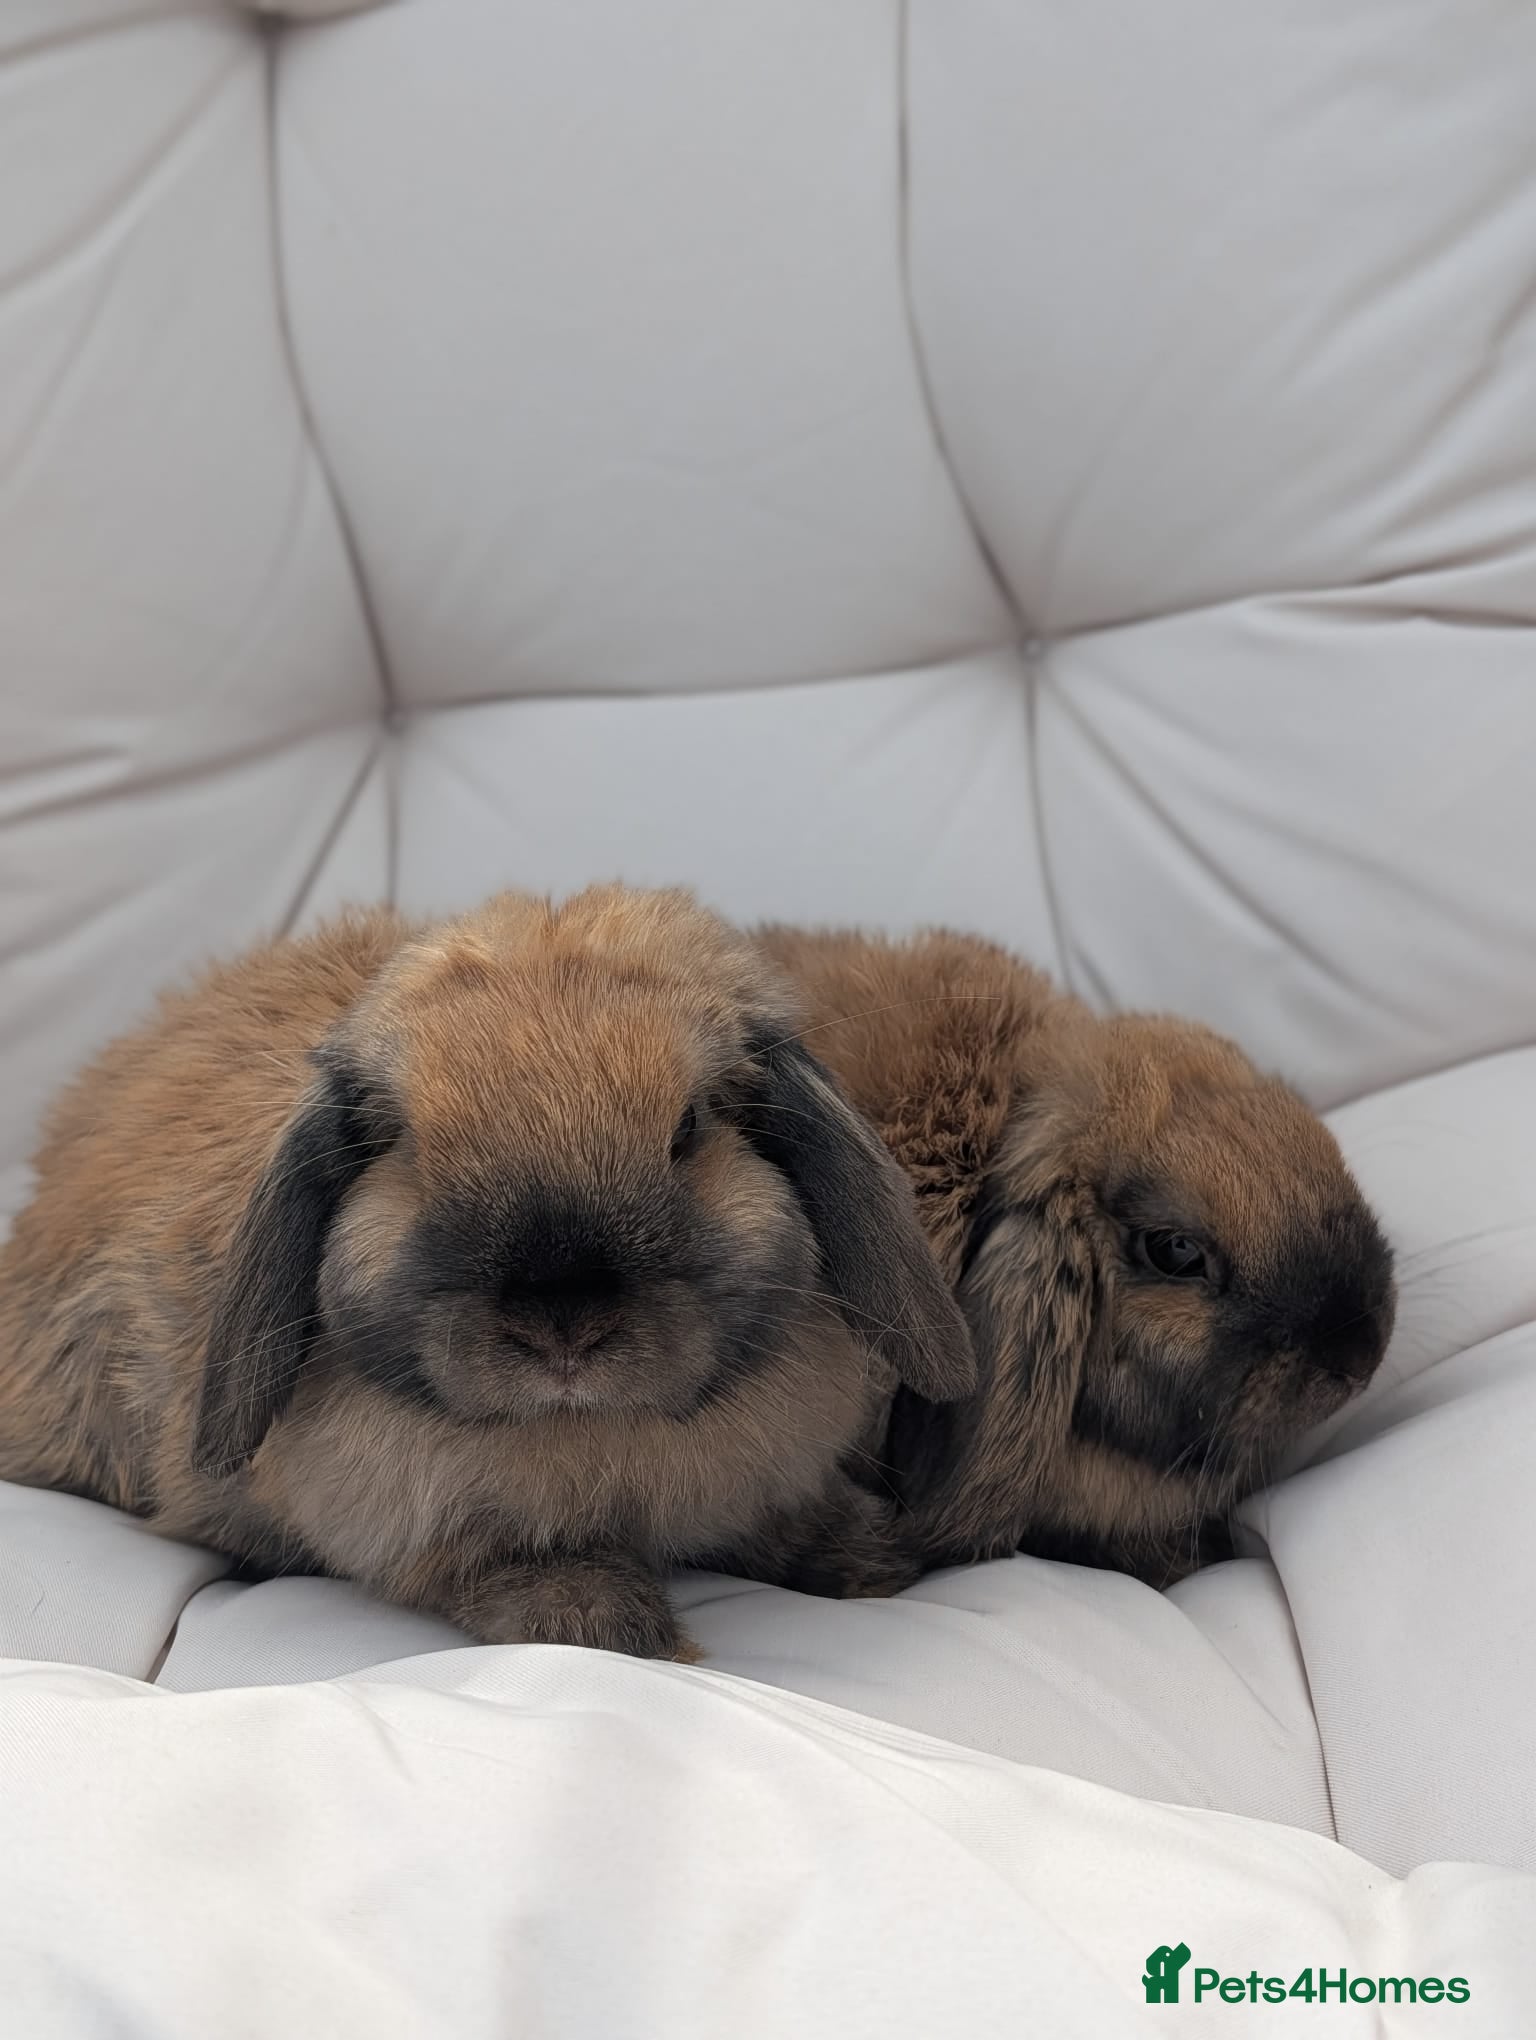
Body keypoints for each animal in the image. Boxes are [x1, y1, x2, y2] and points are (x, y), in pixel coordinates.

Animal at [0, 886, 975, 1660]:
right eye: (409, 1147)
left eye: (690, 1128)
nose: (563, 1324)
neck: (586, 1431)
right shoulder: (405, 1526)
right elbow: (497, 1566)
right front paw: (612, 1625)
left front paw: (870, 1554)